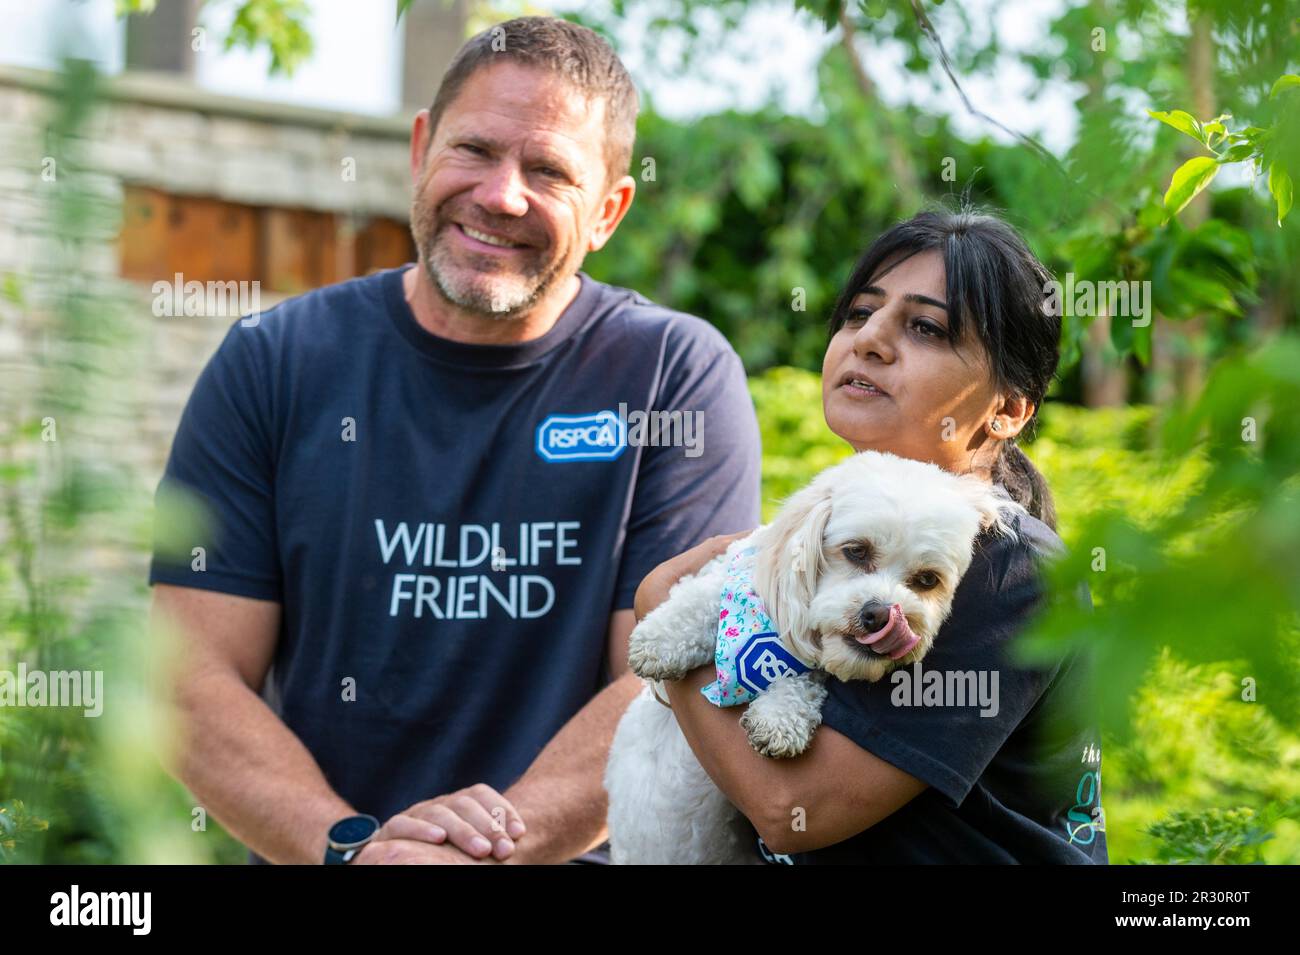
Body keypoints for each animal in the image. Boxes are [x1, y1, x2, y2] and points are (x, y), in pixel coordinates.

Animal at [605, 452, 1024, 862]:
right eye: (856, 550)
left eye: (927, 580)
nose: (880, 615)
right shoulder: (731, 569)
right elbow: (702, 596)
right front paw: (661, 639)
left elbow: (805, 677)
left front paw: (780, 718)